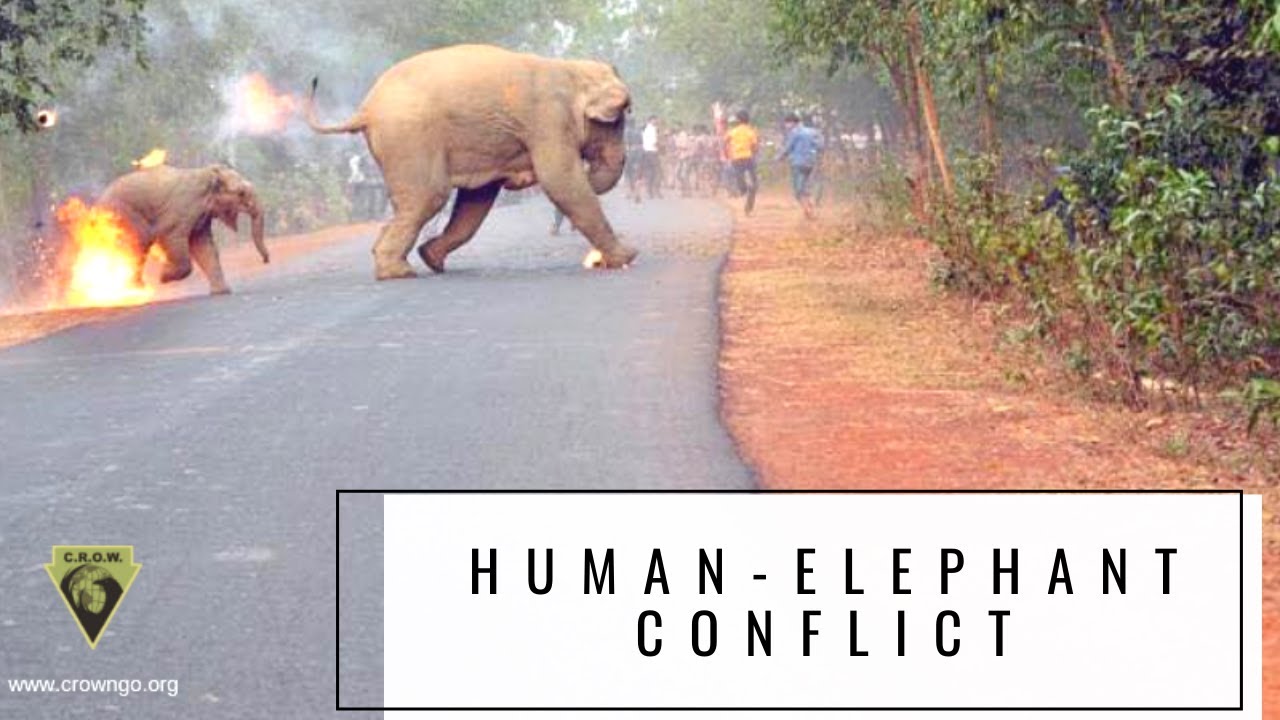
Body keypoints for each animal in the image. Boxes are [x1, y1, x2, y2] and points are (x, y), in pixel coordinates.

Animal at [98, 164, 268, 295]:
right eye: (241, 193)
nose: (265, 261)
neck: (207, 174)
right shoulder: (181, 208)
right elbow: (171, 237)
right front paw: (163, 277)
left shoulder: (201, 217)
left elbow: (204, 247)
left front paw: (222, 292)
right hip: (124, 217)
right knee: (135, 247)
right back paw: (136, 290)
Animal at [306, 43, 636, 280]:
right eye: (618, 120)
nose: (591, 171)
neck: (572, 70)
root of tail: (365, 109)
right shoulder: (548, 120)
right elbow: (560, 180)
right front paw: (626, 258)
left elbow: (477, 199)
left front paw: (431, 256)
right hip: (410, 137)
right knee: (429, 196)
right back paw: (398, 273)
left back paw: (415, 264)